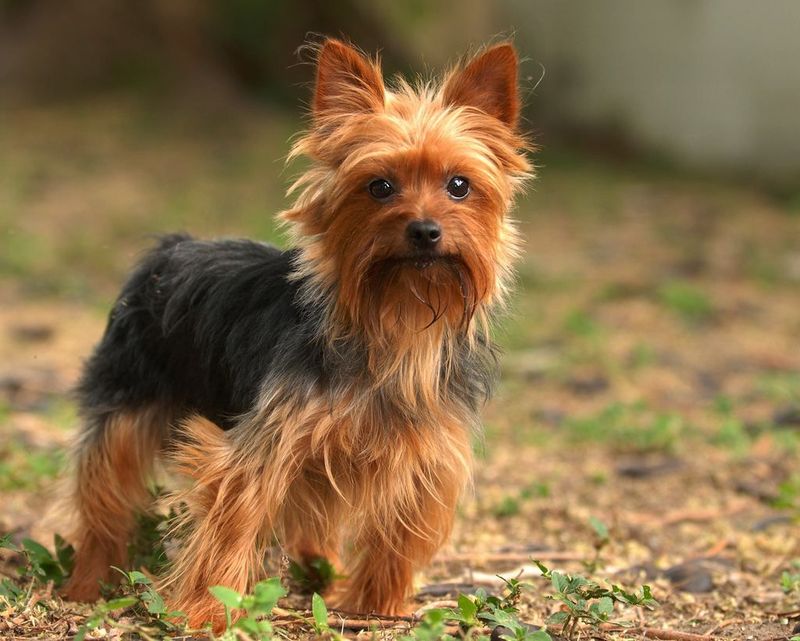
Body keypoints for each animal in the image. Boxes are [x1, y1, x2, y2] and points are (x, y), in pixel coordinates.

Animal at [62, 37, 536, 628]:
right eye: (379, 187)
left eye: (459, 186)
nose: (425, 230)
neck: (395, 319)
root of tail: (174, 247)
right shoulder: (262, 447)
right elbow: (233, 522)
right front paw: (207, 611)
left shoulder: (425, 455)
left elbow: (399, 532)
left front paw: (380, 605)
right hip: (125, 400)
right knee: (103, 490)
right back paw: (87, 581)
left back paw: (320, 576)